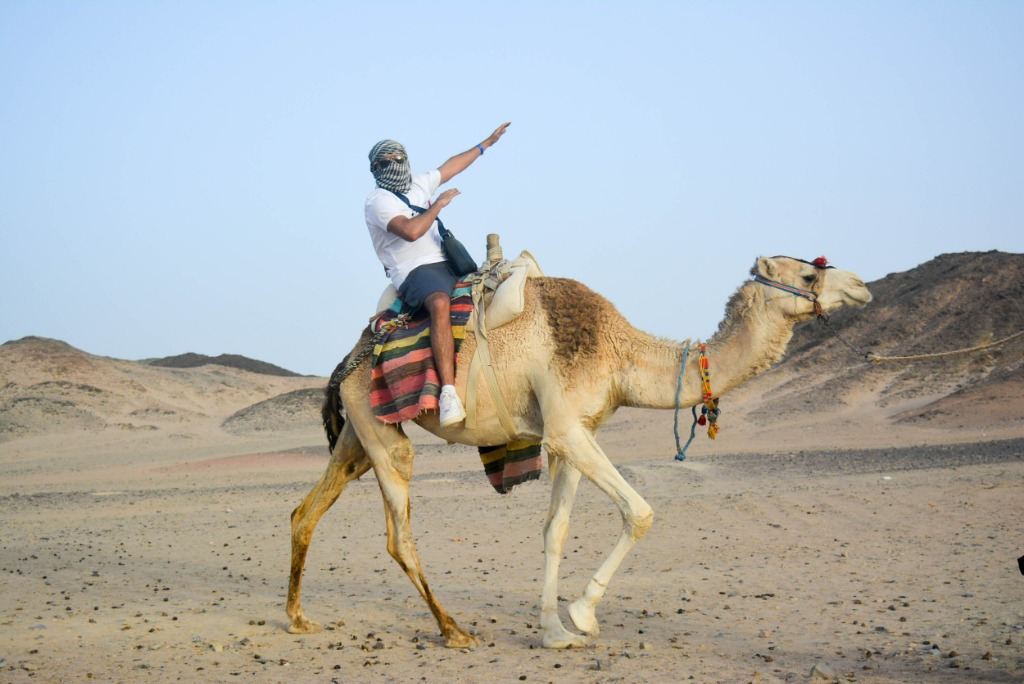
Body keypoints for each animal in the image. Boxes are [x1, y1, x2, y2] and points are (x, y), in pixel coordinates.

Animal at [287, 255, 872, 649]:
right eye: (808, 276)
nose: (862, 286)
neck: (618, 353)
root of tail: (345, 363)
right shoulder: (566, 429)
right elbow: (640, 512)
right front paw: (584, 613)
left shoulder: (576, 432)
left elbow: (555, 531)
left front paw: (553, 630)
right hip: (380, 430)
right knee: (399, 535)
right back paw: (453, 630)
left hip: (357, 430)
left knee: (305, 510)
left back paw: (297, 617)